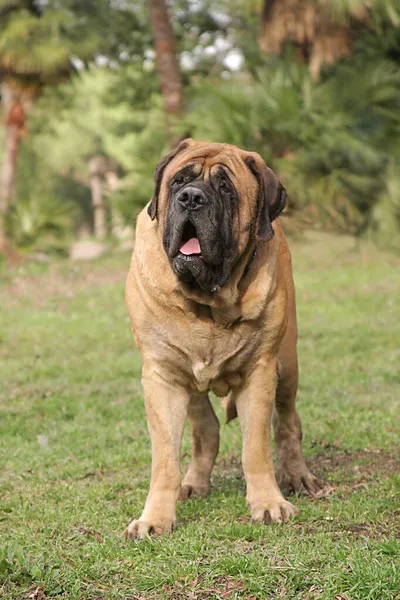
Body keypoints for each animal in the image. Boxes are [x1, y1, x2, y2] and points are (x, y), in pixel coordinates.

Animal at [125, 139, 324, 540]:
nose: (191, 198)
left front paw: (268, 503)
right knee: (207, 430)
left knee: (288, 422)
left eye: (225, 188)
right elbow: (165, 458)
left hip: (287, 365)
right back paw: (193, 483)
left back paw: (297, 475)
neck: (207, 302)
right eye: (178, 181)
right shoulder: (161, 376)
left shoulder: (260, 371)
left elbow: (256, 447)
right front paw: (155, 518)